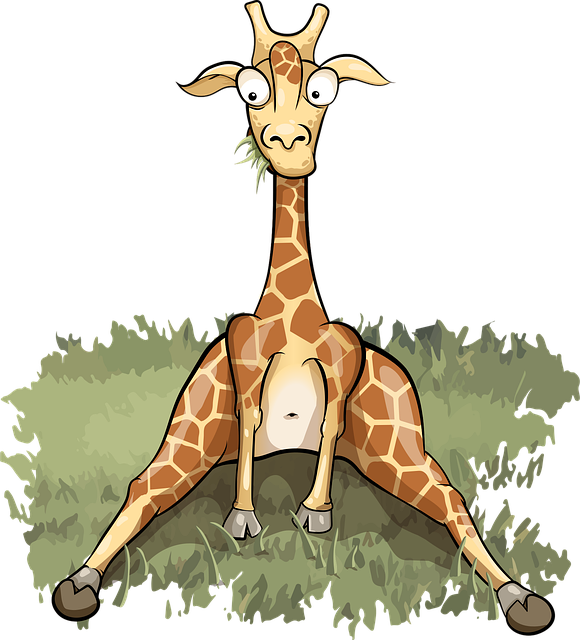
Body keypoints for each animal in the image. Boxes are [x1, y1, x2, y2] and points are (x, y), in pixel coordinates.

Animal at [52, 3, 554, 633]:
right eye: (250, 90)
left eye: (322, 90)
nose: (288, 143)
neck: (292, 316)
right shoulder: (240, 360)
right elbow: (248, 421)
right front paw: (244, 515)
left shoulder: (344, 362)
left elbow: (330, 421)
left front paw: (315, 510)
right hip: (196, 426)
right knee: (146, 485)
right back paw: (77, 581)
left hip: (396, 442)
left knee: (450, 497)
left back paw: (521, 596)